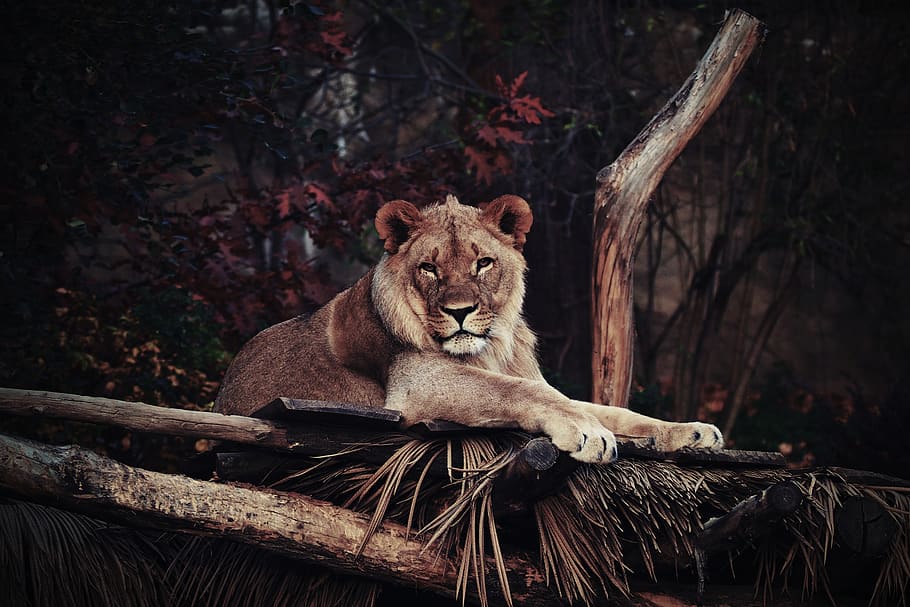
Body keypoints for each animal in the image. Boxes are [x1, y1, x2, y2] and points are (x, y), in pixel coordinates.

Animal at [214, 194, 722, 462]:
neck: (489, 349)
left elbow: (612, 410)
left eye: (483, 263)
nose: (460, 311)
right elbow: (522, 393)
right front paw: (586, 431)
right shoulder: (416, 384)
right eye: (429, 269)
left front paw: (690, 432)